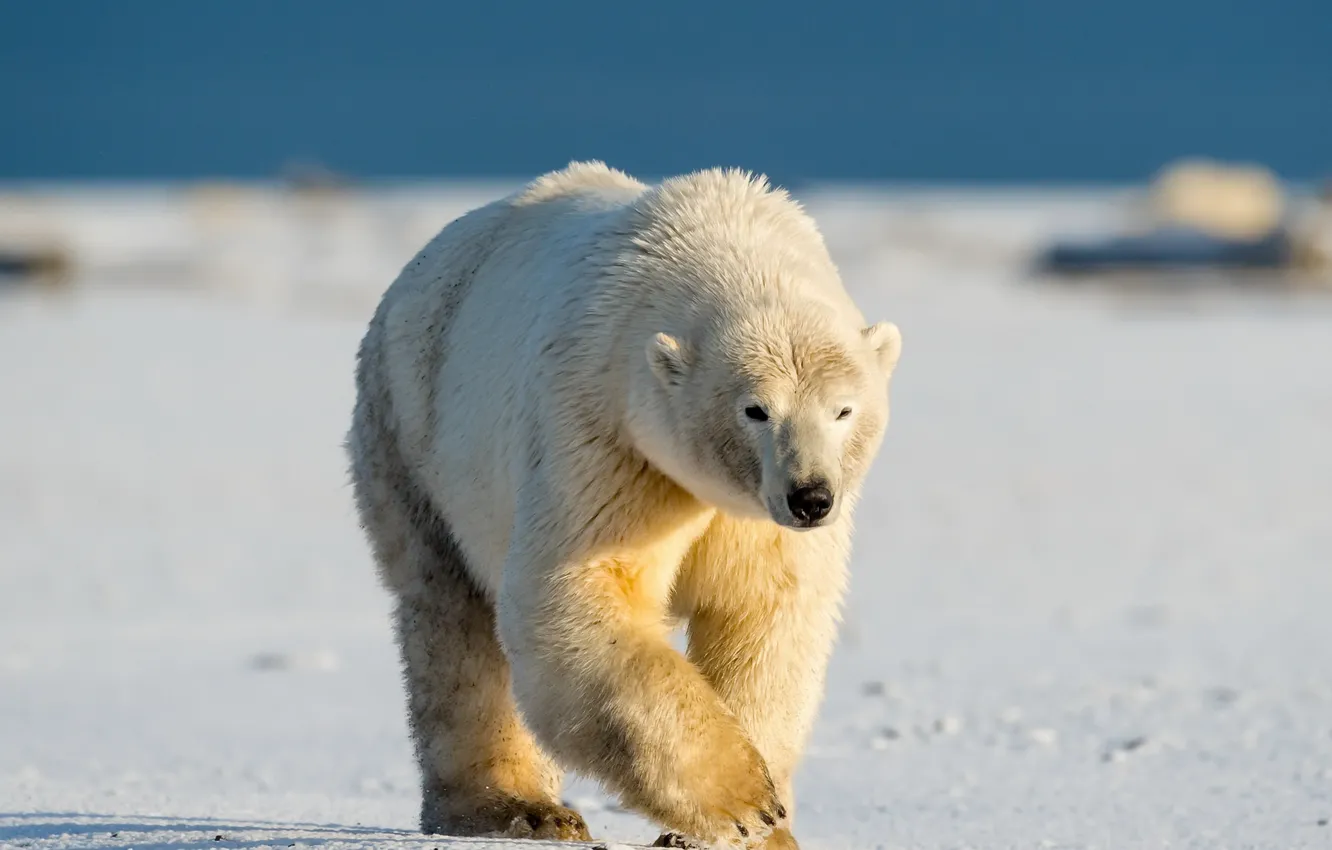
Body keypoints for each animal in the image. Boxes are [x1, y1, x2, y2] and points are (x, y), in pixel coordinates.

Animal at [346, 161, 905, 850]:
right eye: (755, 409)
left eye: (843, 409)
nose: (811, 497)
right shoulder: (606, 434)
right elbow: (584, 598)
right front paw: (745, 803)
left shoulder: (755, 522)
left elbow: (766, 618)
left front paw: (751, 827)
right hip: (413, 437)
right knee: (454, 620)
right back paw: (518, 808)